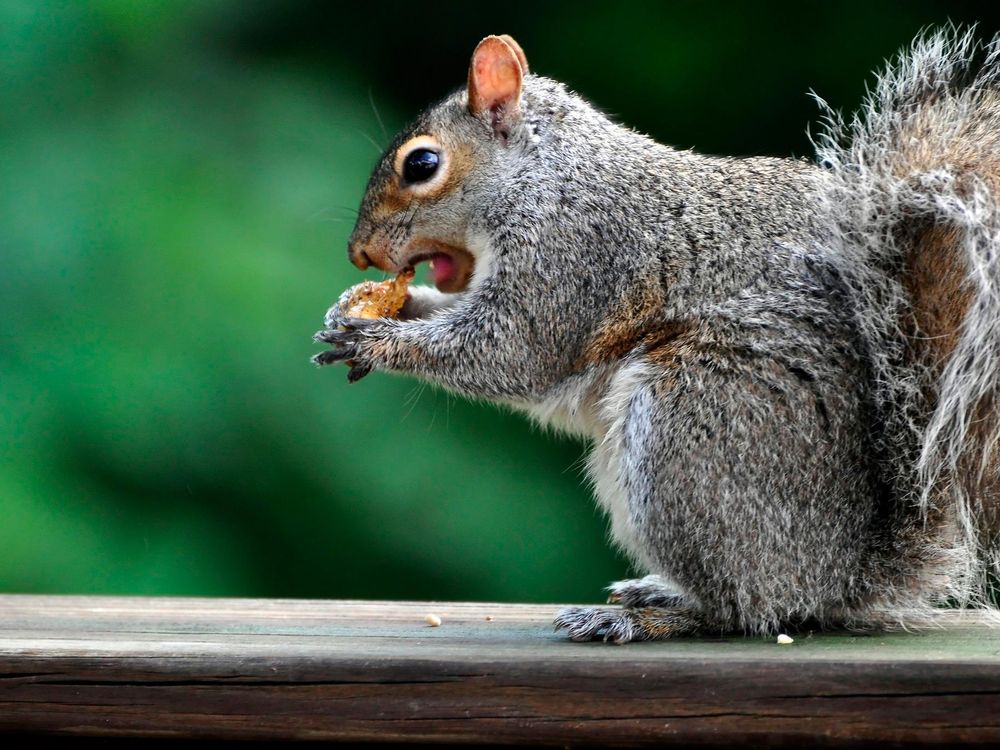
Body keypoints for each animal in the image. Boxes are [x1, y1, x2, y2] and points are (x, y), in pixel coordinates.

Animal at [314, 32, 1000, 644]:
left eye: (422, 164)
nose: (358, 254)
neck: (546, 176)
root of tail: (845, 574)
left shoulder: (573, 257)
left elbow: (507, 352)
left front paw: (376, 338)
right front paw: (371, 306)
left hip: (688, 425)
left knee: (745, 608)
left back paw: (647, 618)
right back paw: (655, 593)